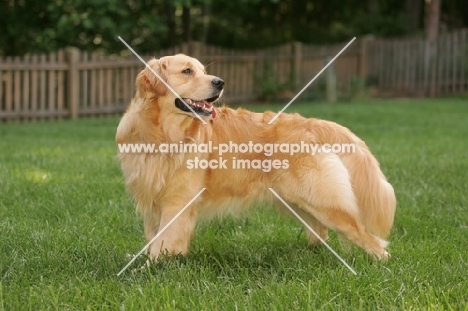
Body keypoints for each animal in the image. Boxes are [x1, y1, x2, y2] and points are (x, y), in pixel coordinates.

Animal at [116, 54, 394, 264]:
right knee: (321, 232)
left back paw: (382, 264)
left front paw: (148, 268)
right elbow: (153, 237)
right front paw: (145, 260)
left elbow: (163, 240)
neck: (162, 133)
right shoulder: (152, 200)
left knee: (370, 238)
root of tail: (310, 123)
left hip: (323, 202)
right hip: (300, 202)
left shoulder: (177, 202)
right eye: (187, 71)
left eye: (203, 71)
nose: (220, 82)